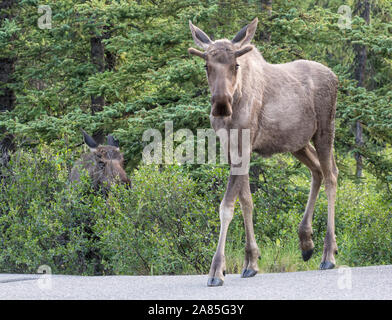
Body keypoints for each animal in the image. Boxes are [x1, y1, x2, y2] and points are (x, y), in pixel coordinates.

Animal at [188, 18, 338, 288]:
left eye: (235, 64)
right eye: (206, 65)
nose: (221, 104)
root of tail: (335, 76)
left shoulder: (244, 147)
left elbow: (227, 206)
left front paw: (217, 270)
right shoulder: (232, 151)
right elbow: (246, 201)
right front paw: (251, 261)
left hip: (324, 130)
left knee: (331, 175)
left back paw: (328, 253)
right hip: (298, 143)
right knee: (318, 171)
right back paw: (306, 241)